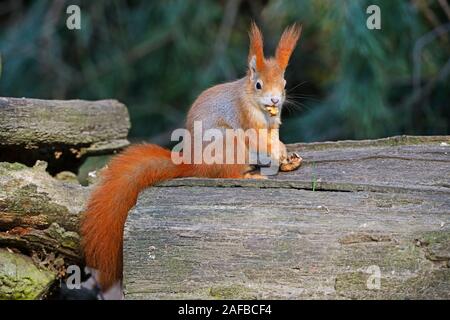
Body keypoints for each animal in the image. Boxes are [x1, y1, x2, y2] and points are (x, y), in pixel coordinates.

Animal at [81, 21, 302, 288]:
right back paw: (250, 175)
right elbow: (260, 140)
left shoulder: (273, 123)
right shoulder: (247, 120)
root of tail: (194, 166)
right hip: (229, 143)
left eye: (284, 83)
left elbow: (275, 138)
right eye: (258, 84)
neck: (258, 106)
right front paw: (278, 156)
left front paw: (285, 154)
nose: (275, 100)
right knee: (227, 174)